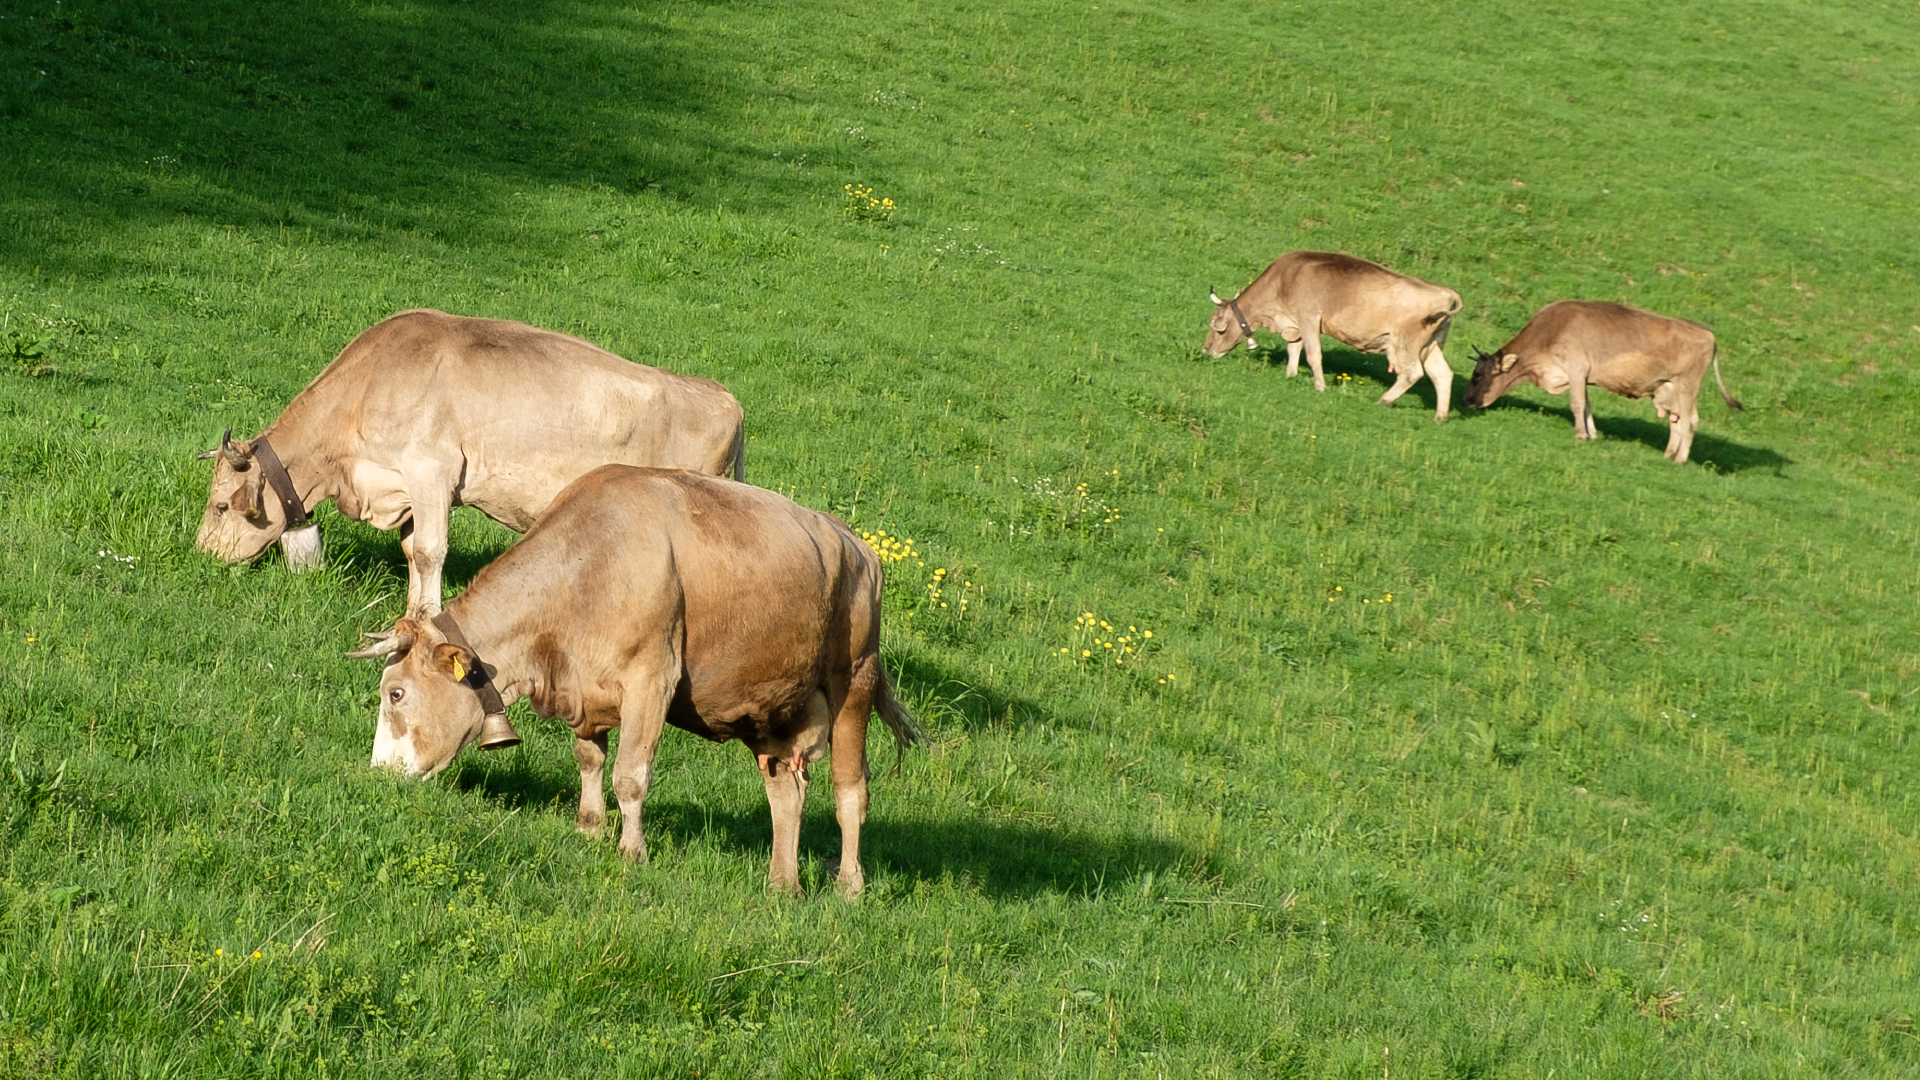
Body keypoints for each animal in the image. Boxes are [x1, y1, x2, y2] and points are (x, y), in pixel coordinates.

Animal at [189, 311, 741, 614]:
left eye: (220, 506)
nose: (201, 556)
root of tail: (724, 397)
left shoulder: (431, 471)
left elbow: (431, 550)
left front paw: (424, 619)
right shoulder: (405, 486)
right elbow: (412, 550)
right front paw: (411, 609)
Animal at [357, 463, 933, 891]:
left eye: (396, 693)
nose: (380, 772)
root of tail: (857, 545)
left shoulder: (651, 679)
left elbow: (630, 776)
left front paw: (631, 851)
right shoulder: (584, 690)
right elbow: (589, 759)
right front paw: (588, 829)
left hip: (854, 680)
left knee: (851, 790)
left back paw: (849, 884)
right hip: (770, 708)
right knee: (786, 793)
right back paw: (781, 884)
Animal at [1205, 251, 1459, 420]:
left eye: (1217, 326)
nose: (1206, 350)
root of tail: (1447, 293)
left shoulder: (1309, 318)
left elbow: (1313, 354)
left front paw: (1320, 386)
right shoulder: (1296, 322)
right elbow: (1294, 348)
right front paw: (1290, 375)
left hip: (1404, 343)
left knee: (1412, 373)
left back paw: (1384, 400)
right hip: (1432, 345)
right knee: (1442, 374)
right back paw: (1441, 417)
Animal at [1459, 297, 1751, 463]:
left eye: (1477, 375)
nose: (1466, 401)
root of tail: (1708, 333)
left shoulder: (1576, 368)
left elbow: (1577, 404)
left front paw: (1580, 436)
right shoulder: (1584, 375)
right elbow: (1587, 405)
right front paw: (1593, 434)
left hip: (1688, 383)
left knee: (1691, 421)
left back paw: (1680, 460)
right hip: (1671, 388)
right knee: (1676, 420)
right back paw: (1668, 455)